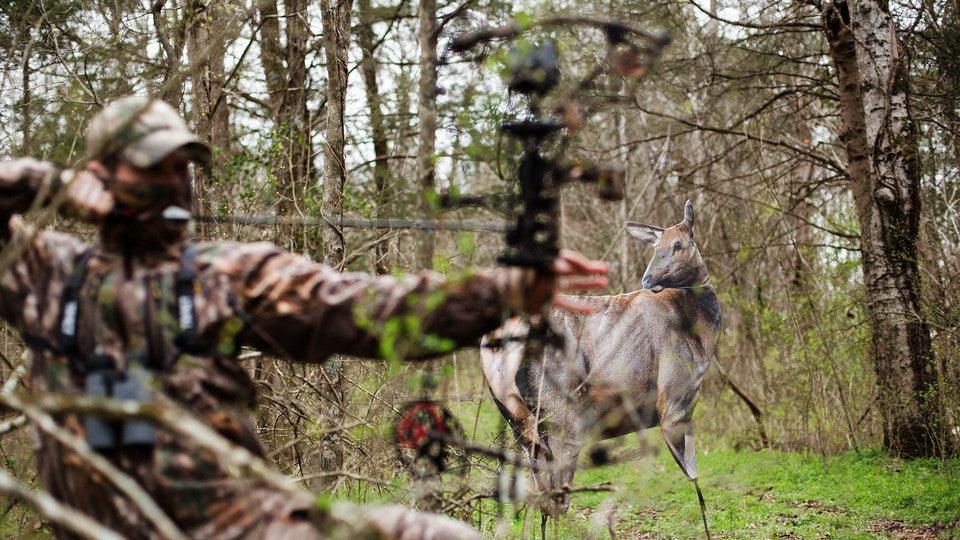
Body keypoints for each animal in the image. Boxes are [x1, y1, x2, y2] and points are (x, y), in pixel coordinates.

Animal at [481, 200, 719, 538]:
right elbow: (695, 478)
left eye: (678, 244)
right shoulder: (676, 398)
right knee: (555, 499)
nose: (648, 280)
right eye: (656, 246)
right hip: (561, 420)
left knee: (539, 497)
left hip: (521, 425)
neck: (702, 331)